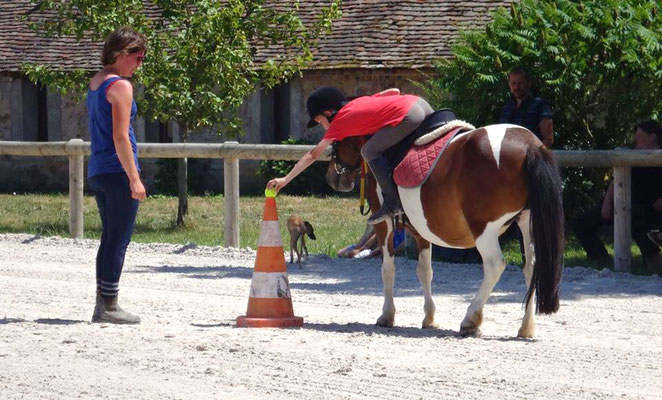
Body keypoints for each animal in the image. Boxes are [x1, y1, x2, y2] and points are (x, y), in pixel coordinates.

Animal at [328, 124, 564, 338]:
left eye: (336, 142)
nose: (332, 177)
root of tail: (530, 145)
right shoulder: (420, 233)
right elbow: (425, 271)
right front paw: (429, 318)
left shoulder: (384, 226)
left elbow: (388, 270)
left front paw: (387, 315)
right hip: (527, 223)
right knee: (531, 268)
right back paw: (526, 327)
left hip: (484, 229)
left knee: (495, 265)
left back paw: (471, 318)